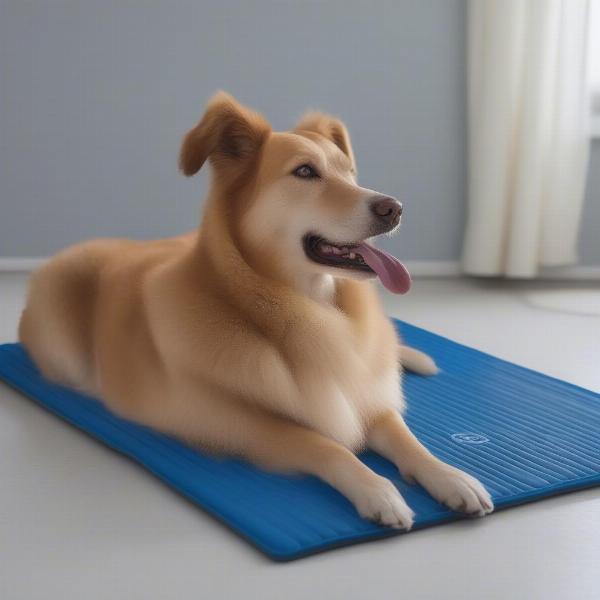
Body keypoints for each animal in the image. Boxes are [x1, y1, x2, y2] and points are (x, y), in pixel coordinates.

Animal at [19, 91, 492, 528]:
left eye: (351, 173)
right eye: (305, 172)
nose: (394, 208)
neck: (300, 307)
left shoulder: (363, 397)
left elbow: (405, 437)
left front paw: (450, 477)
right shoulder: (238, 424)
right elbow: (325, 444)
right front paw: (378, 490)